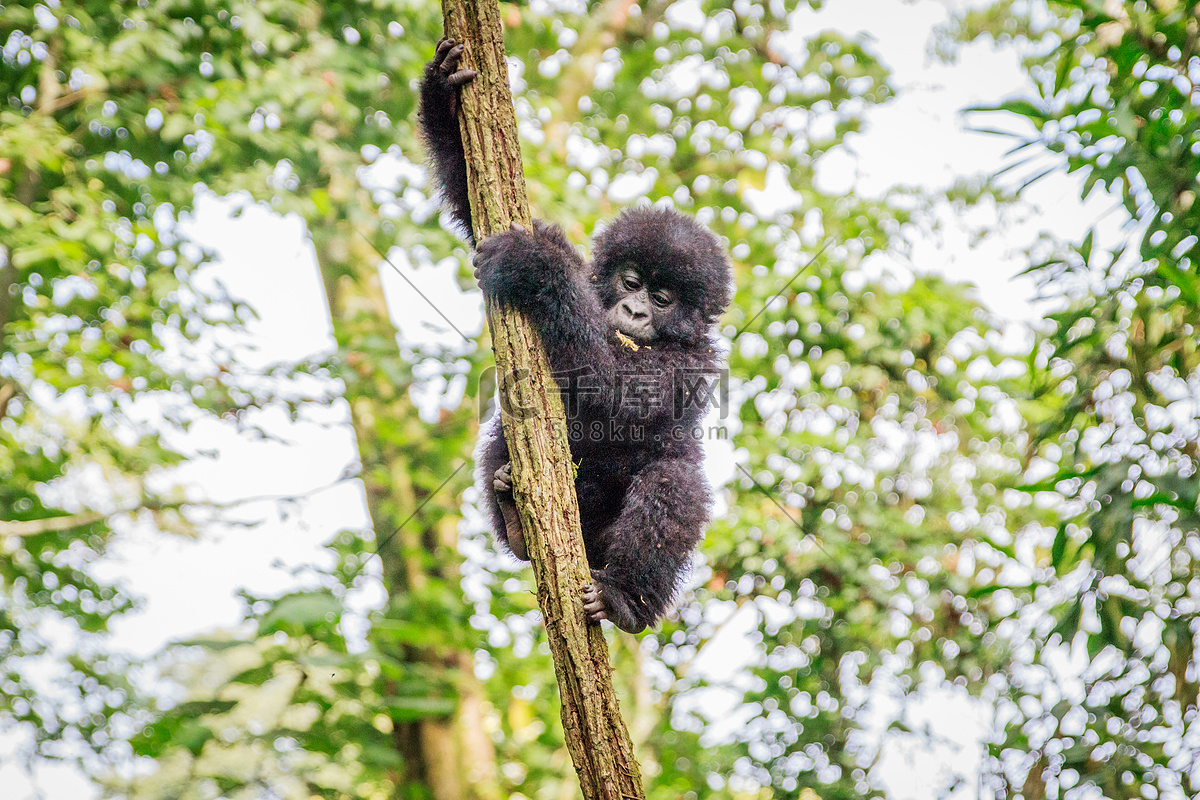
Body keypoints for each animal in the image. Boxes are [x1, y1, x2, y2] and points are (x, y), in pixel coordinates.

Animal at [422, 37, 729, 633]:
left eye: (663, 298)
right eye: (630, 281)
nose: (634, 309)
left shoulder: (696, 360)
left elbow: (613, 387)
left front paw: (533, 266)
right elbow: (474, 202)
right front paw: (442, 87)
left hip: (604, 549)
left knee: (675, 482)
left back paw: (625, 599)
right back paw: (516, 523)